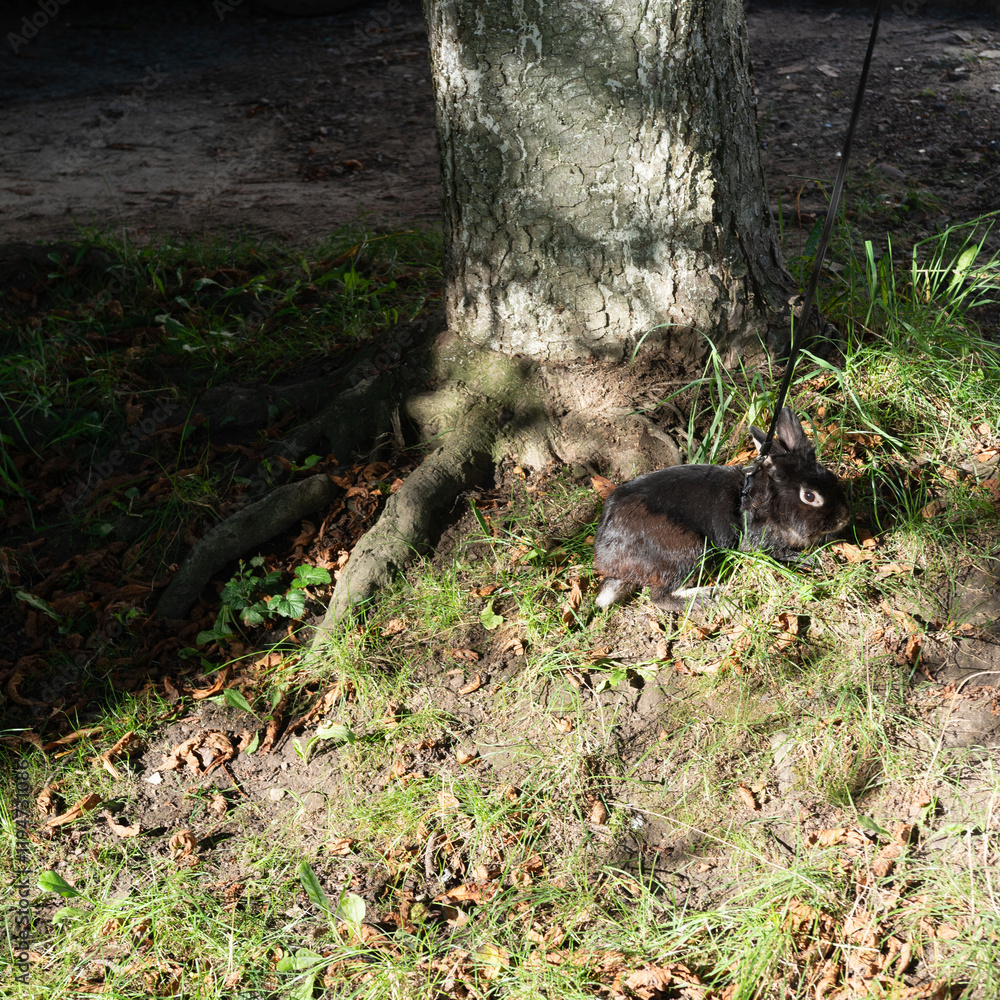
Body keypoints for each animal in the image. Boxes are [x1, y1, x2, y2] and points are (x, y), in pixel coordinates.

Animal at [593, 407, 850, 610]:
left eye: (831, 477)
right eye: (809, 496)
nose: (843, 519)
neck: (768, 502)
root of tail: (607, 561)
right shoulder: (759, 541)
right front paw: (812, 561)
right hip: (689, 551)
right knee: (659, 597)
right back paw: (707, 597)